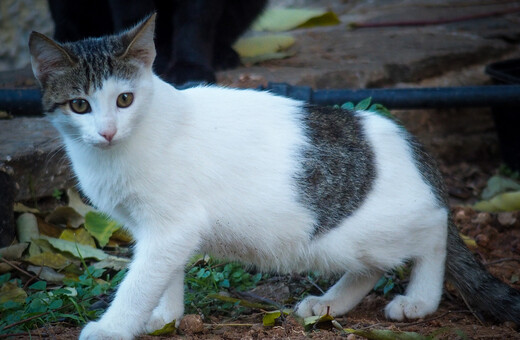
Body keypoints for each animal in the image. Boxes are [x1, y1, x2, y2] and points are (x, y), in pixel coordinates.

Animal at [29, 12, 520, 338]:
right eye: (79, 105)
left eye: (125, 99)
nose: (107, 131)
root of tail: (412, 145)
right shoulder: (158, 230)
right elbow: (164, 276)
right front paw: (164, 317)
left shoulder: (172, 227)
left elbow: (140, 281)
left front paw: (112, 327)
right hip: (347, 240)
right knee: (373, 265)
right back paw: (331, 301)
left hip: (371, 229)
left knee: (434, 231)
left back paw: (419, 299)